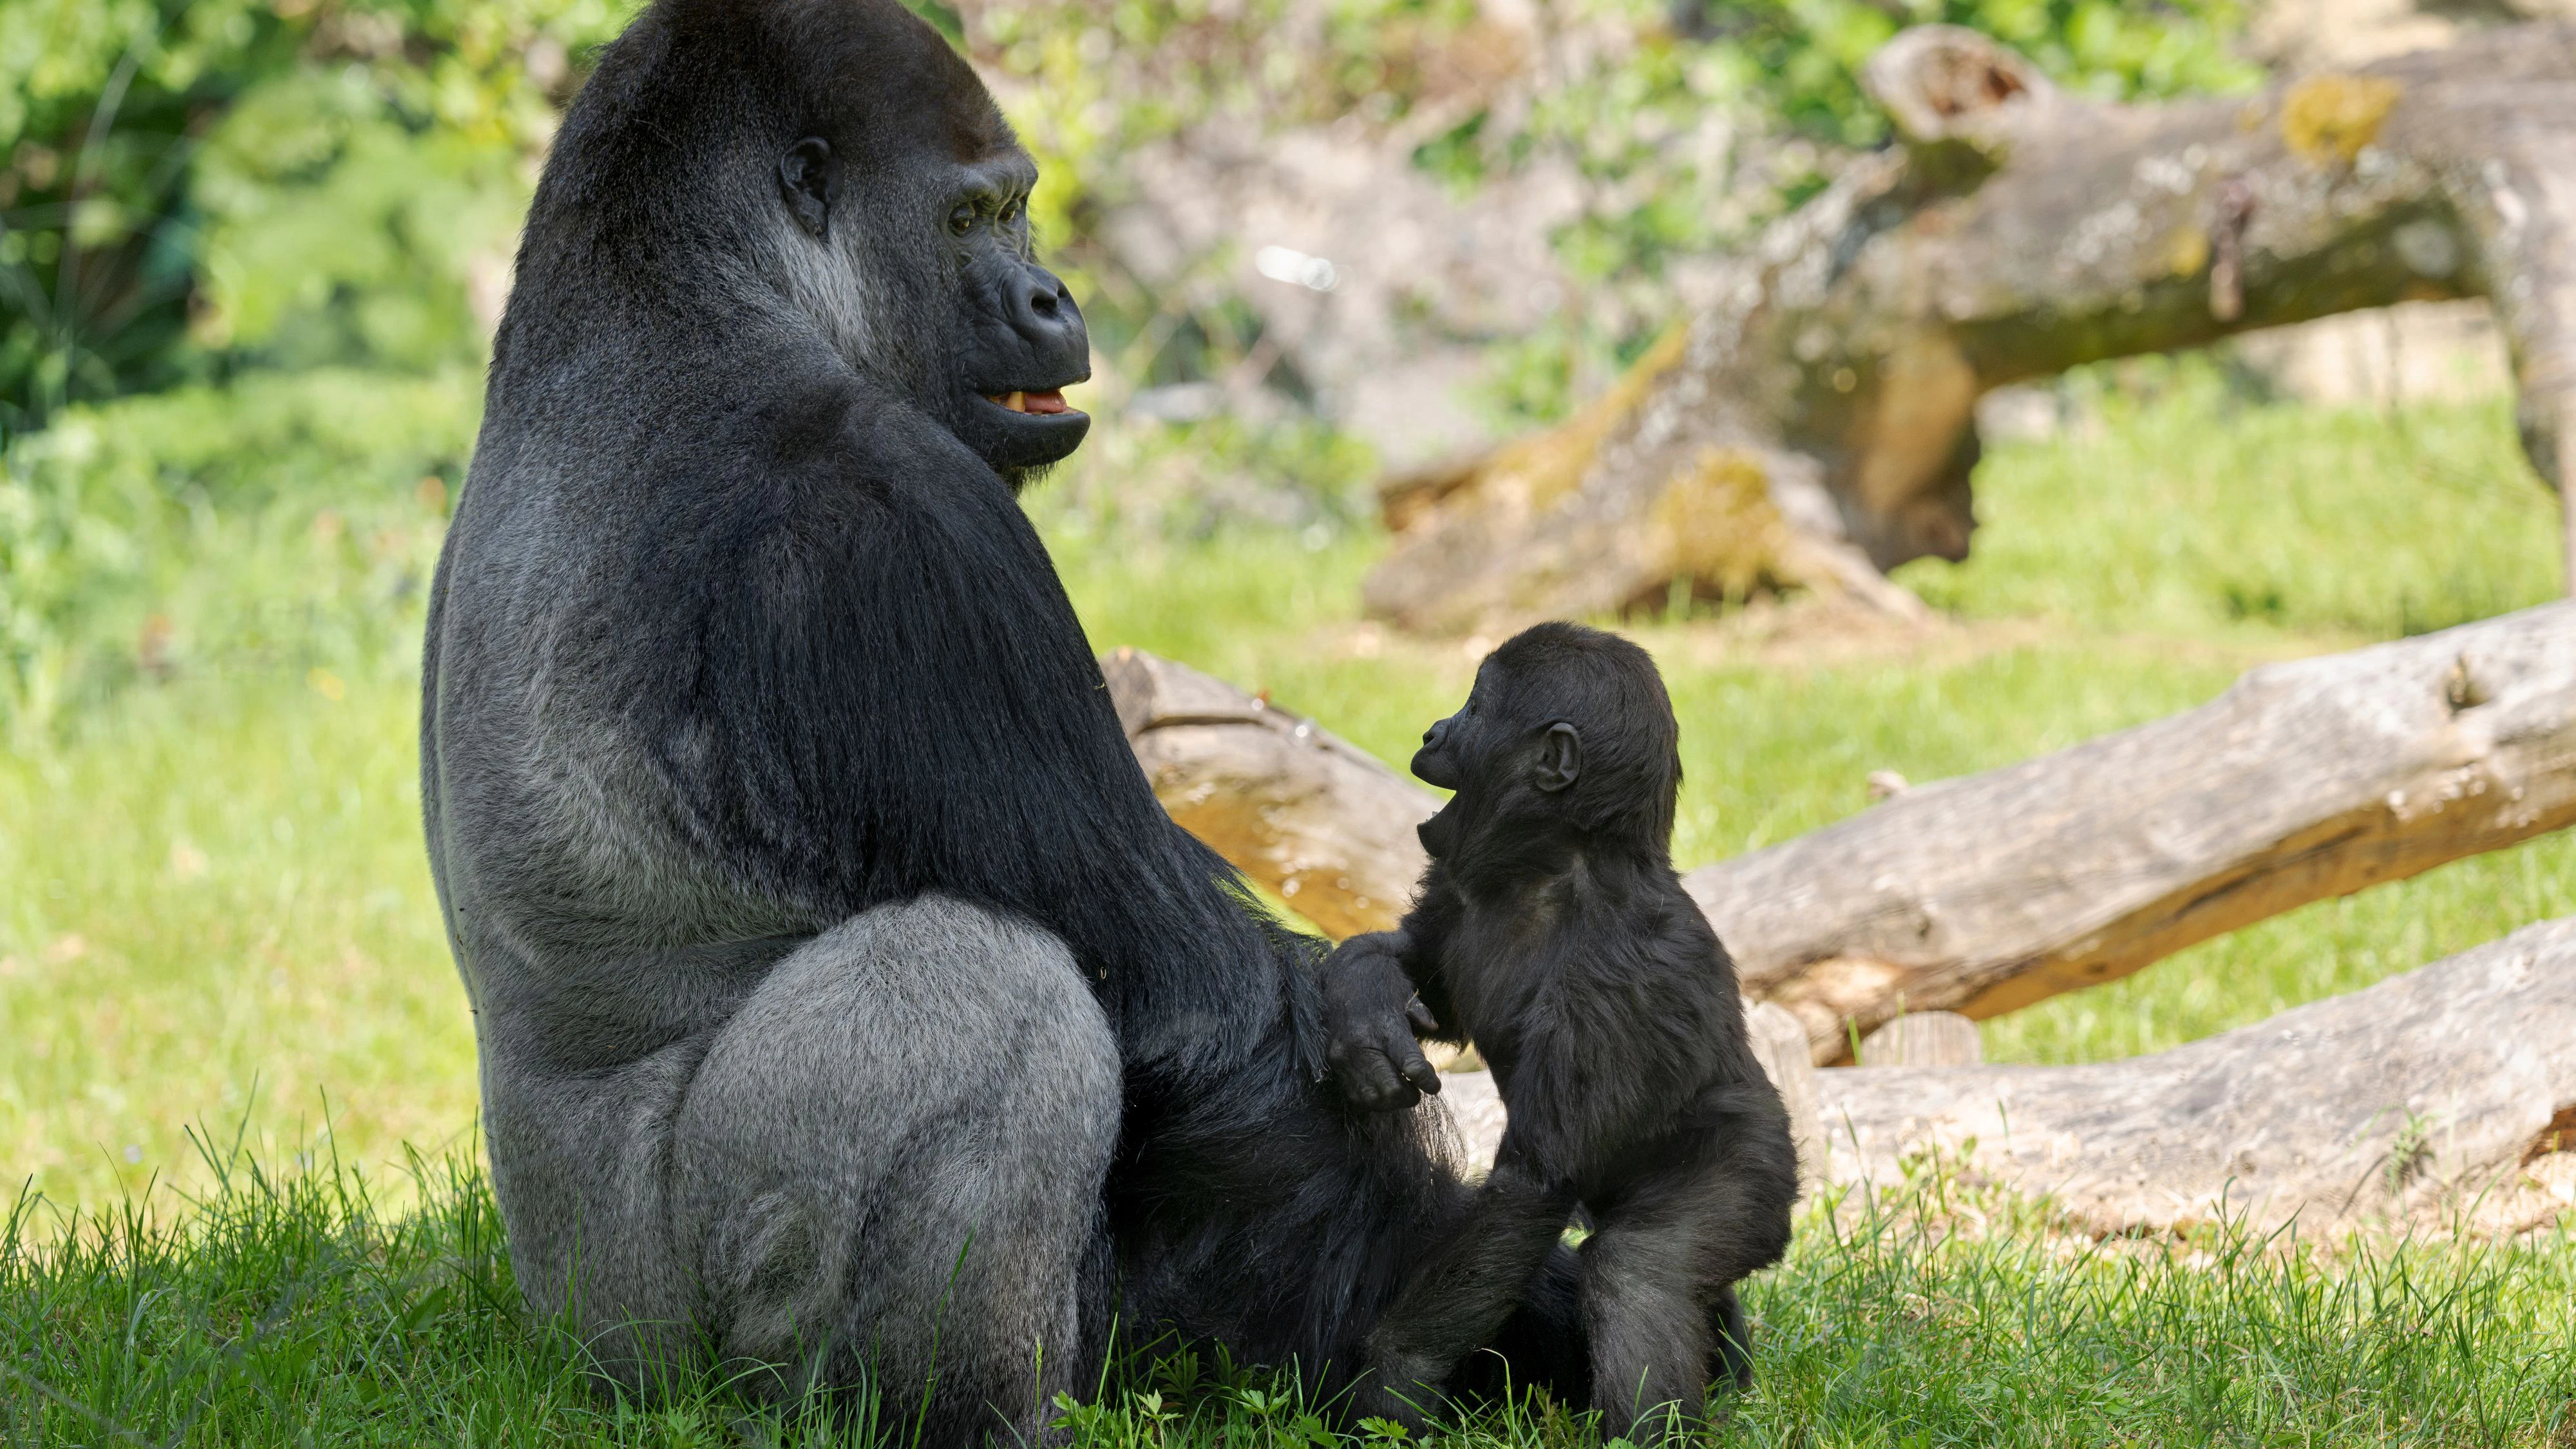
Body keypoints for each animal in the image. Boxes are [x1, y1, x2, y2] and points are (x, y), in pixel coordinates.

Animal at [419, 2, 1586, 1442]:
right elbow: (1203, 1021)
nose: (1053, 298)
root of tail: (570, 1356)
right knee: (992, 990)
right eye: (973, 216)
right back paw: (962, 1413)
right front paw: (1470, 1312)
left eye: (1017, 209)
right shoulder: (888, 521)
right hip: (673, 1354)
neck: (678, 291)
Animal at [1320, 622, 1799, 1440]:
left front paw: (1393, 1378)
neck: (1559, 862)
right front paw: (1365, 1000)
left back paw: (1650, 1432)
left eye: (1476, 706)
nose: (1433, 731)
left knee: (1642, 1274)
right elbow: (1418, 971)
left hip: (1759, 1162)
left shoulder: (1613, 971)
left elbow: (1529, 1187)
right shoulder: (1457, 886)